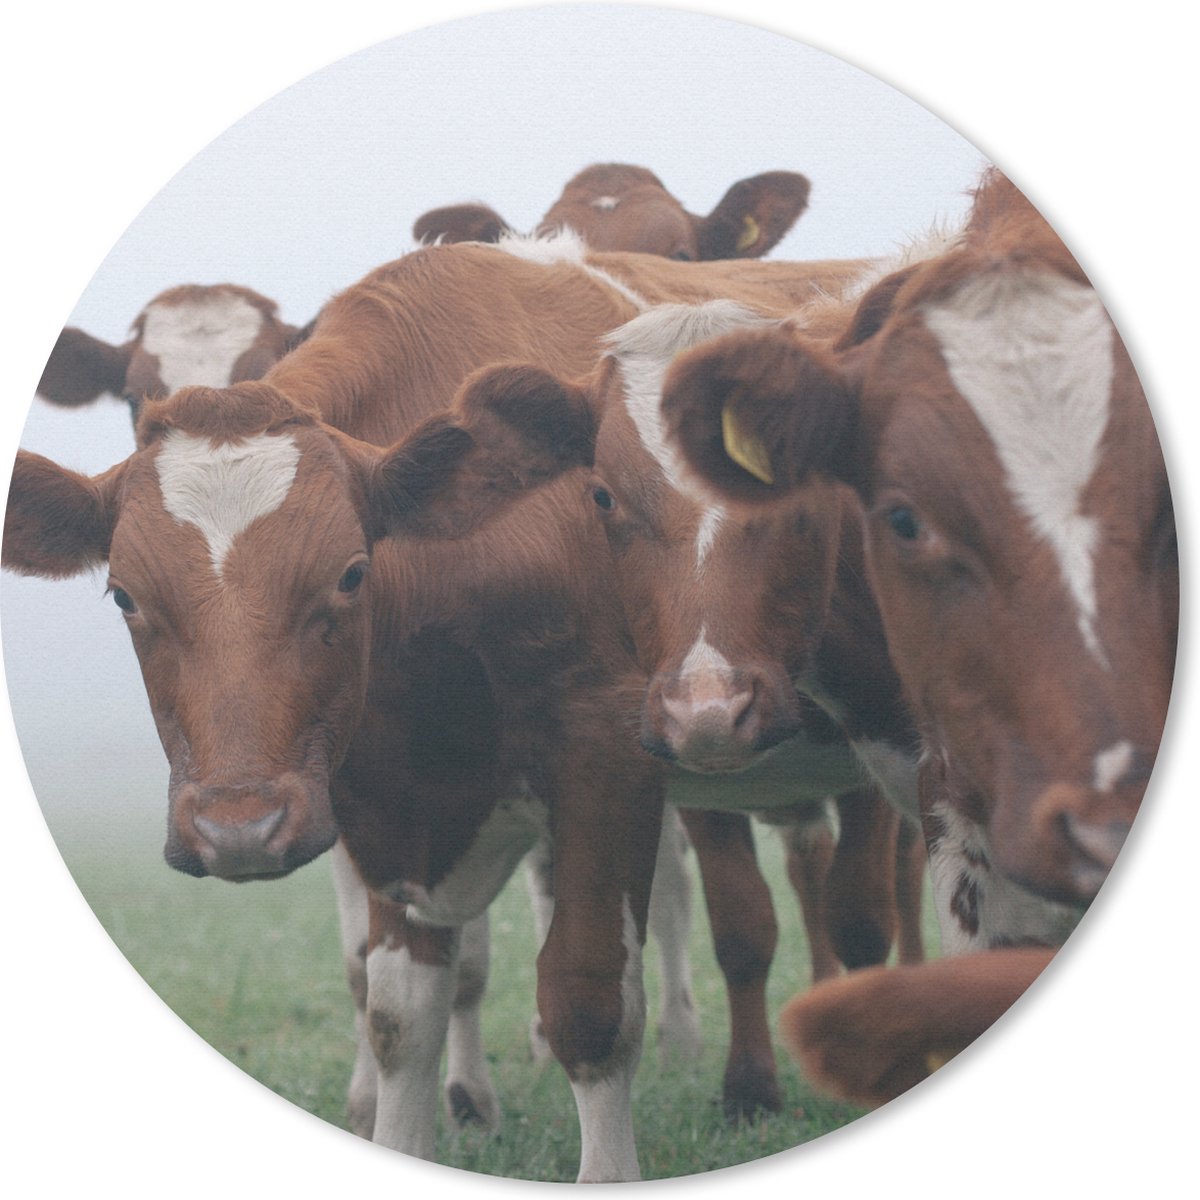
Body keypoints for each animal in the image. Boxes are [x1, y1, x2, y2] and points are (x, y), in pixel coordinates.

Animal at [5, 236, 862, 1180]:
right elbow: (399, 1012)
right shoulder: (378, 797)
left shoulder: (607, 759)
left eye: (350, 573)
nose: (238, 829)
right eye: (124, 595)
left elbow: (589, 1002)